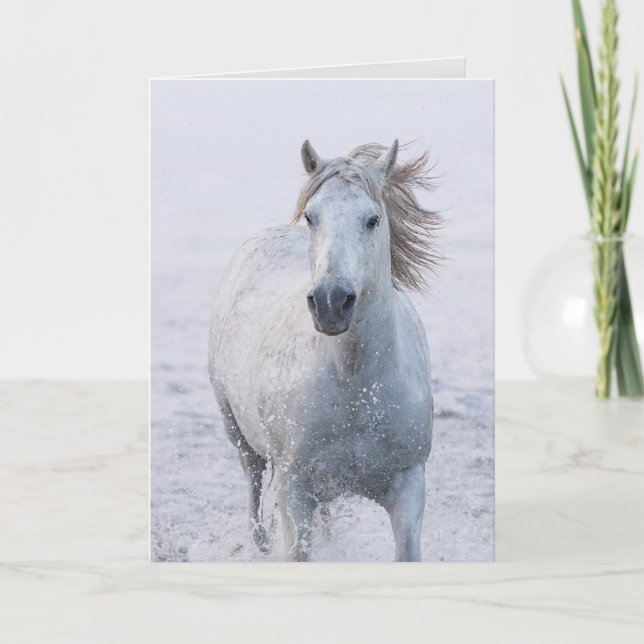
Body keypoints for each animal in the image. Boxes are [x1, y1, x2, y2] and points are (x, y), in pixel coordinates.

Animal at [208, 140, 440, 561]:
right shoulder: (294, 488)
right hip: (238, 433)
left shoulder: (409, 487)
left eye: (373, 220)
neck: (355, 386)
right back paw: (259, 543)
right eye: (312, 217)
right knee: (253, 483)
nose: (331, 302)